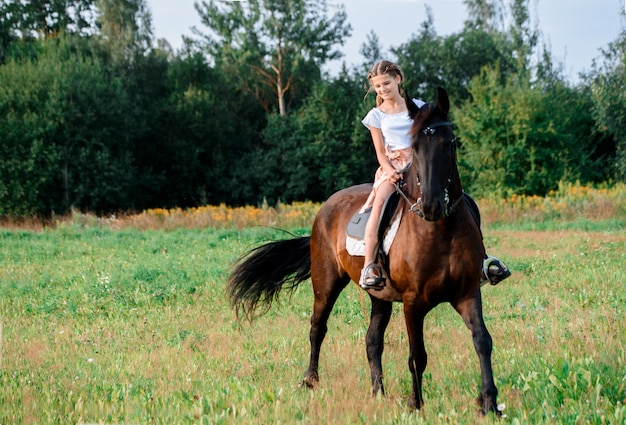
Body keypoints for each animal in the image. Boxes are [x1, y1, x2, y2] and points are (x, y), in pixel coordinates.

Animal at [228, 87, 498, 414]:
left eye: (451, 143)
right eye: (415, 146)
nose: (432, 206)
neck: (440, 232)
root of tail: (326, 207)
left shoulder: (468, 292)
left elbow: (482, 341)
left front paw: (489, 402)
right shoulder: (413, 302)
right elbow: (417, 355)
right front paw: (415, 403)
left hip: (379, 296)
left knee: (372, 340)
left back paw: (377, 391)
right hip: (325, 283)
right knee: (317, 328)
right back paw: (310, 380)